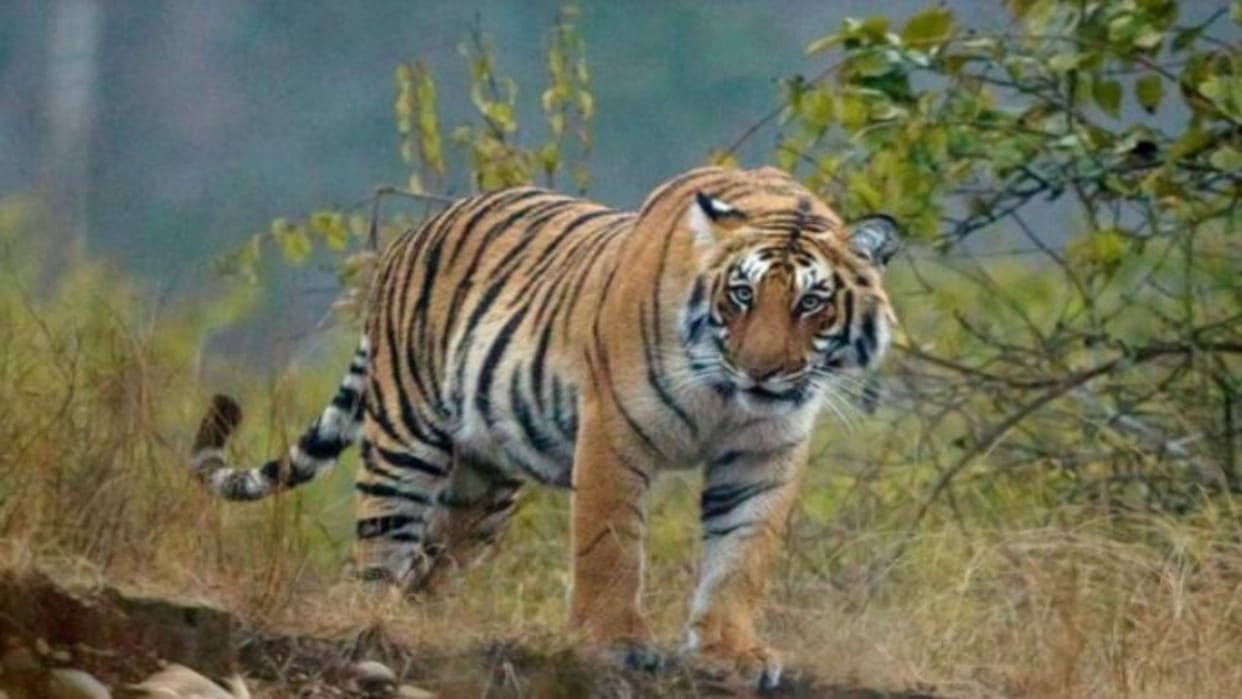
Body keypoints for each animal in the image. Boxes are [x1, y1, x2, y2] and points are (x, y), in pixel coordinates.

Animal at [190, 165, 899, 688]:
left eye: (811, 302)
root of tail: (414, 232)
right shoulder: (615, 430)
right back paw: (373, 628)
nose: (761, 372)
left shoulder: (762, 454)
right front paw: (614, 645)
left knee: (430, 565)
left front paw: (730, 652)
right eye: (742, 295)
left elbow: (740, 555)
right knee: (377, 555)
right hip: (405, 439)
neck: (726, 398)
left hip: (482, 488)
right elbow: (611, 543)